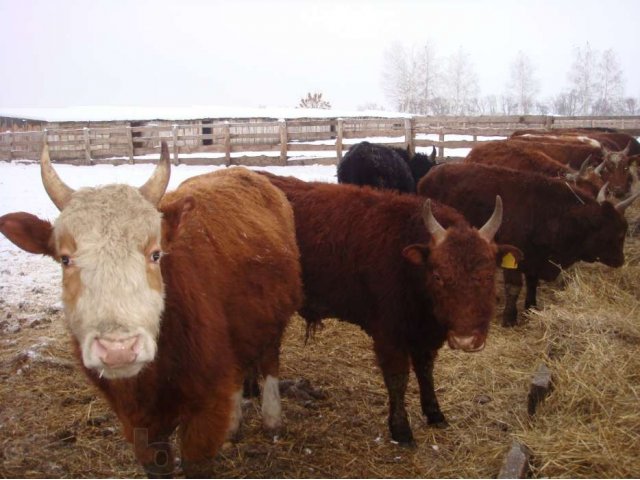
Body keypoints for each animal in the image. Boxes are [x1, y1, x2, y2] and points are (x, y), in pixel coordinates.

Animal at [0, 142, 302, 476]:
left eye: (155, 254)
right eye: (65, 259)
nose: (118, 349)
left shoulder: (205, 410)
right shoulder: (137, 422)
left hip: (275, 320)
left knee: (270, 359)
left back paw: (272, 417)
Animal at [258, 171, 524, 444]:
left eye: (488, 274)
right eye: (438, 275)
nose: (466, 340)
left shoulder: (424, 336)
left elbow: (425, 371)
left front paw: (435, 413)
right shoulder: (389, 335)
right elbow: (398, 378)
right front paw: (401, 429)